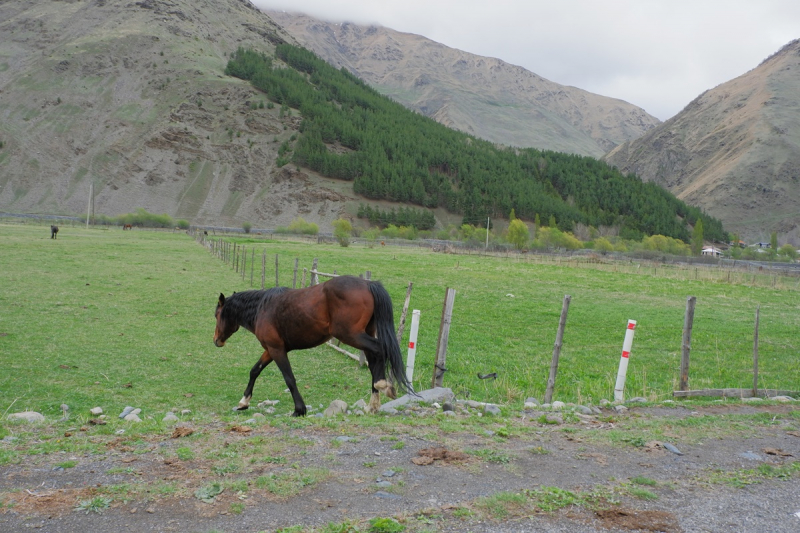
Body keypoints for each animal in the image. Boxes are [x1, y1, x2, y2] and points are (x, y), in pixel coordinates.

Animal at [212, 274, 412, 416]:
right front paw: (244, 402)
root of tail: (367, 284)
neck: (262, 307)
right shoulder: (270, 349)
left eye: (217, 314)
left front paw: (299, 410)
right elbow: (254, 371)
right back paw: (373, 404)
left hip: (351, 335)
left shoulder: (277, 350)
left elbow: (289, 378)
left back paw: (382, 385)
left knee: (379, 350)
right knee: (373, 359)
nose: (216, 340)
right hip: (363, 334)